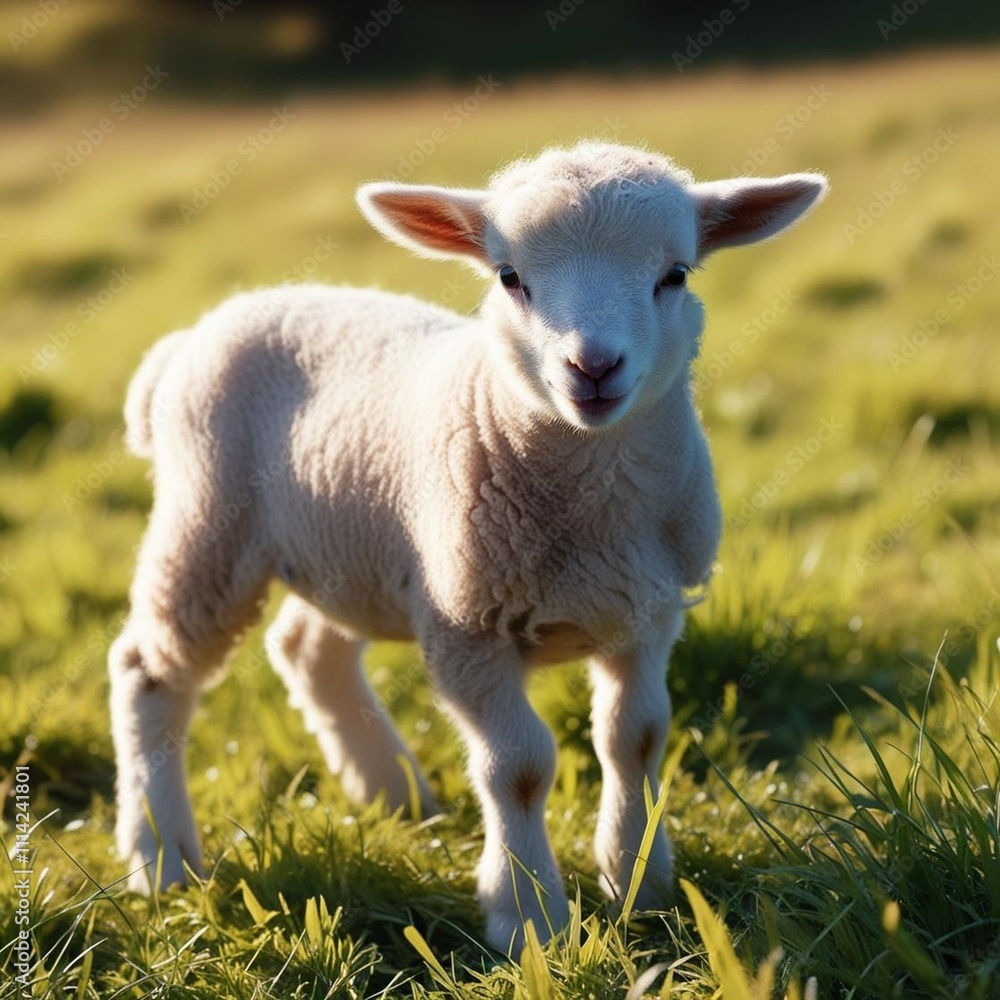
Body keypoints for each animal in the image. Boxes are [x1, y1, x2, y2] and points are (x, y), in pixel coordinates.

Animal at [109, 141, 827, 953]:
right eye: (509, 277)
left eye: (674, 275)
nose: (593, 367)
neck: (590, 509)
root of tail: (193, 337)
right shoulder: (466, 626)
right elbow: (520, 767)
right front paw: (528, 916)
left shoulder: (647, 615)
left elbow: (633, 739)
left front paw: (640, 884)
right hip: (208, 523)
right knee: (148, 672)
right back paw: (161, 857)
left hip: (356, 548)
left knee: (308, 650)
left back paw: (392, 793)